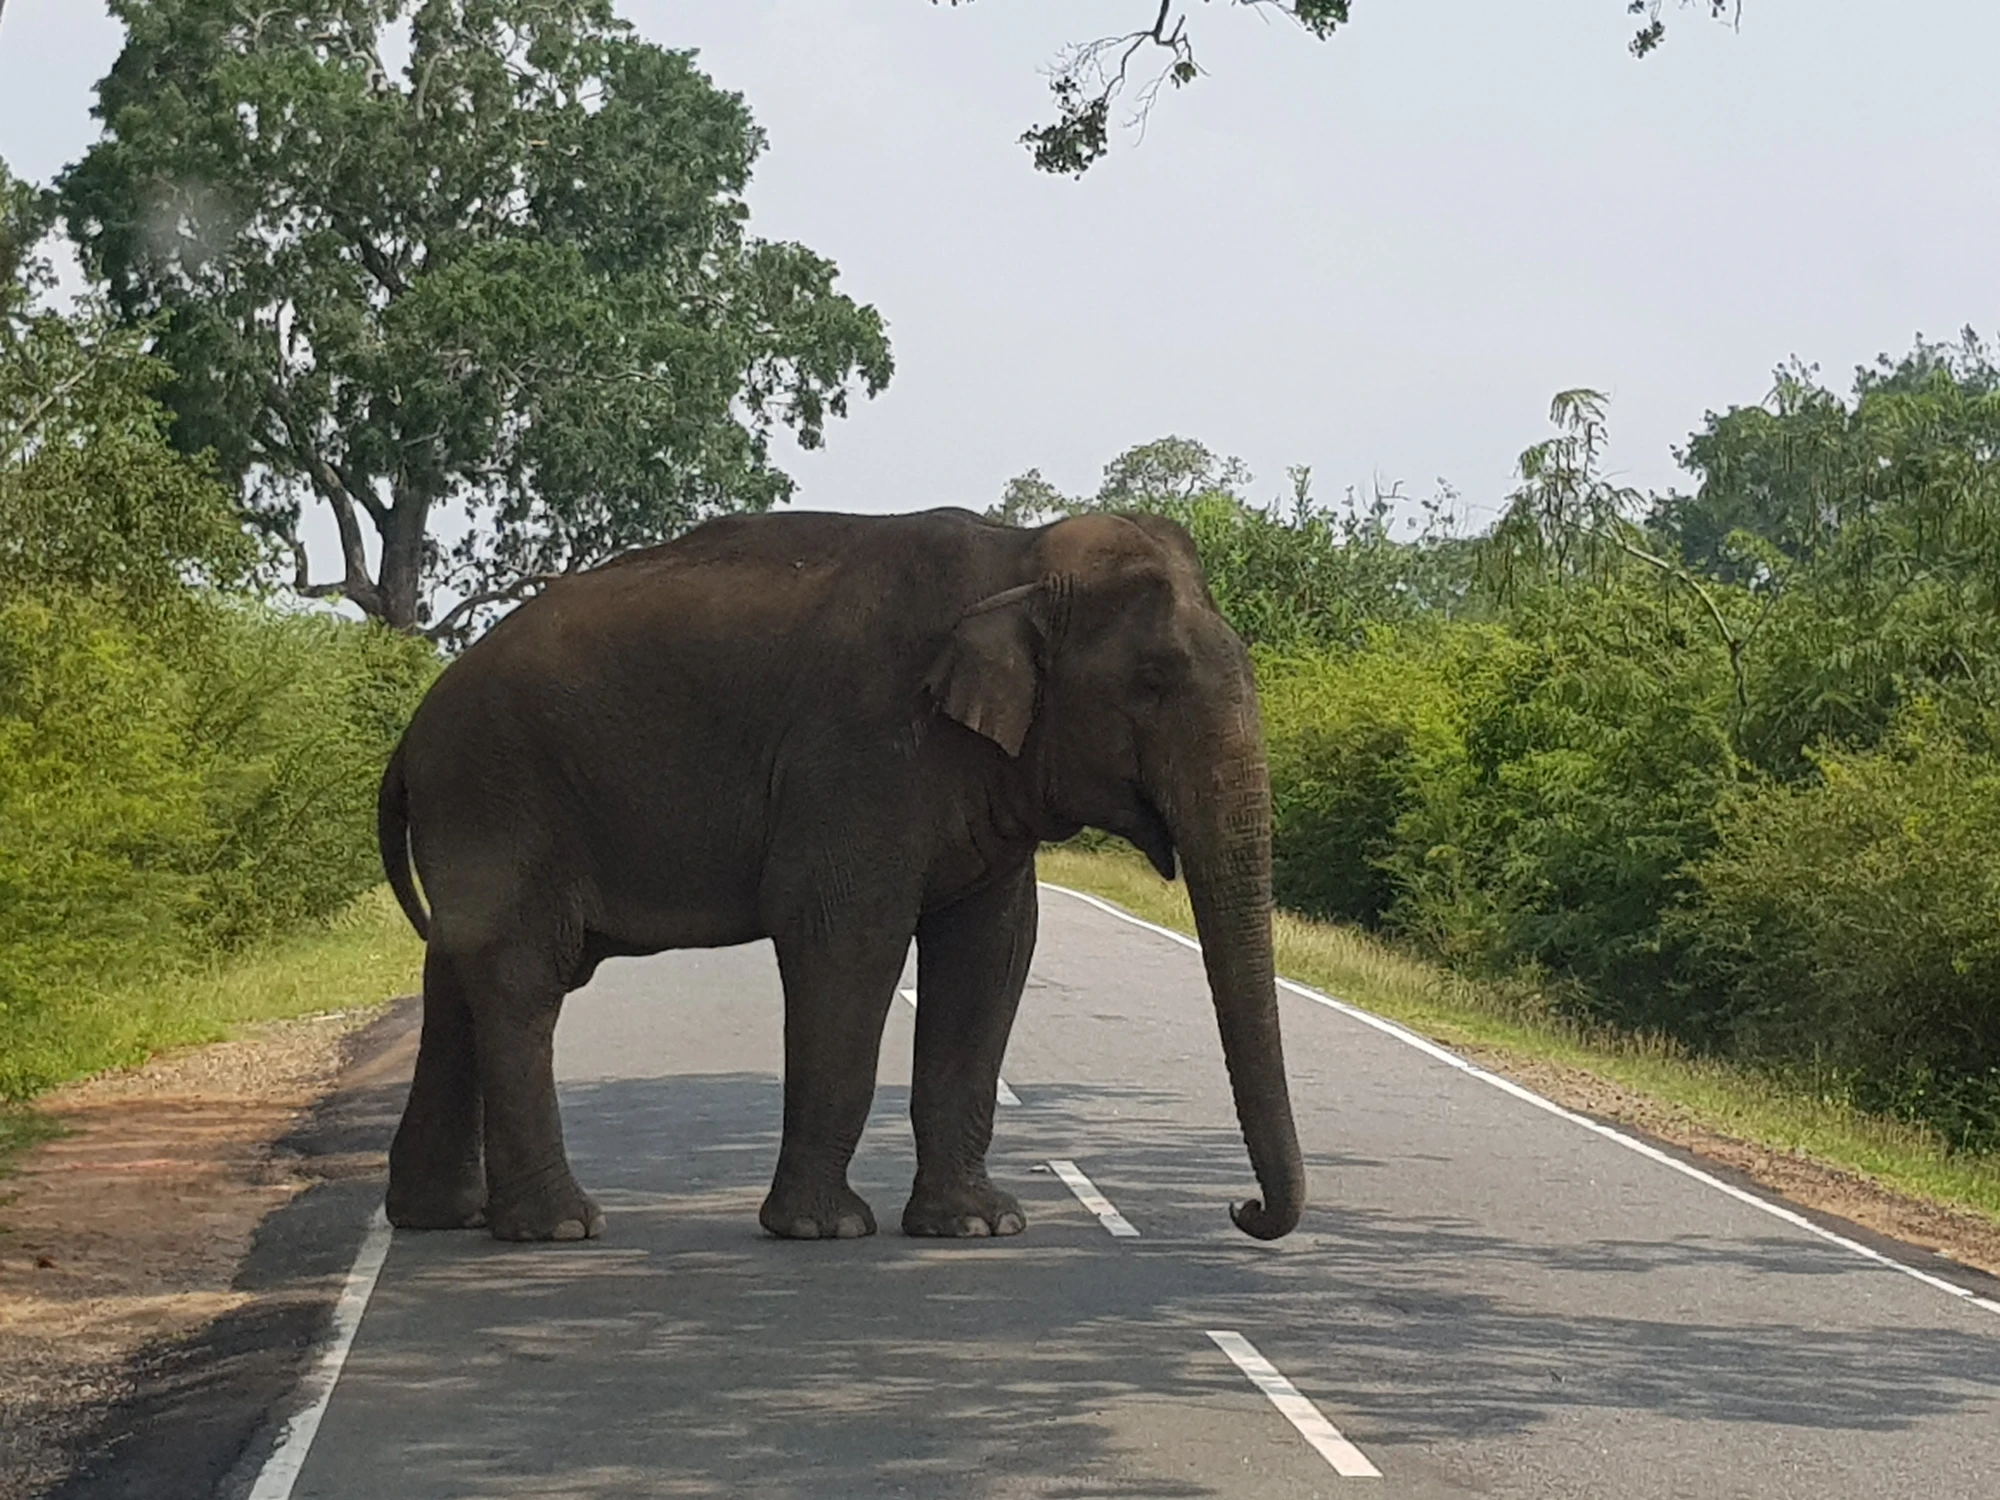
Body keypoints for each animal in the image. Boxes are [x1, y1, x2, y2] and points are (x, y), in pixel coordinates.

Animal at [376, 507, 1305, 1245]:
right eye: (1151, 682)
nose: (1241, 1210)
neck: (1016, 556)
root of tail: (413, 728)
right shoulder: (862, 750)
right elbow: (845, 936)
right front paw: (825, 1230)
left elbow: (993, 953)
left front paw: (979, 1225)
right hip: (498, 790)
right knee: (522, 981)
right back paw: (560, 1228)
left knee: (456, 977)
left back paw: (442, 1216)